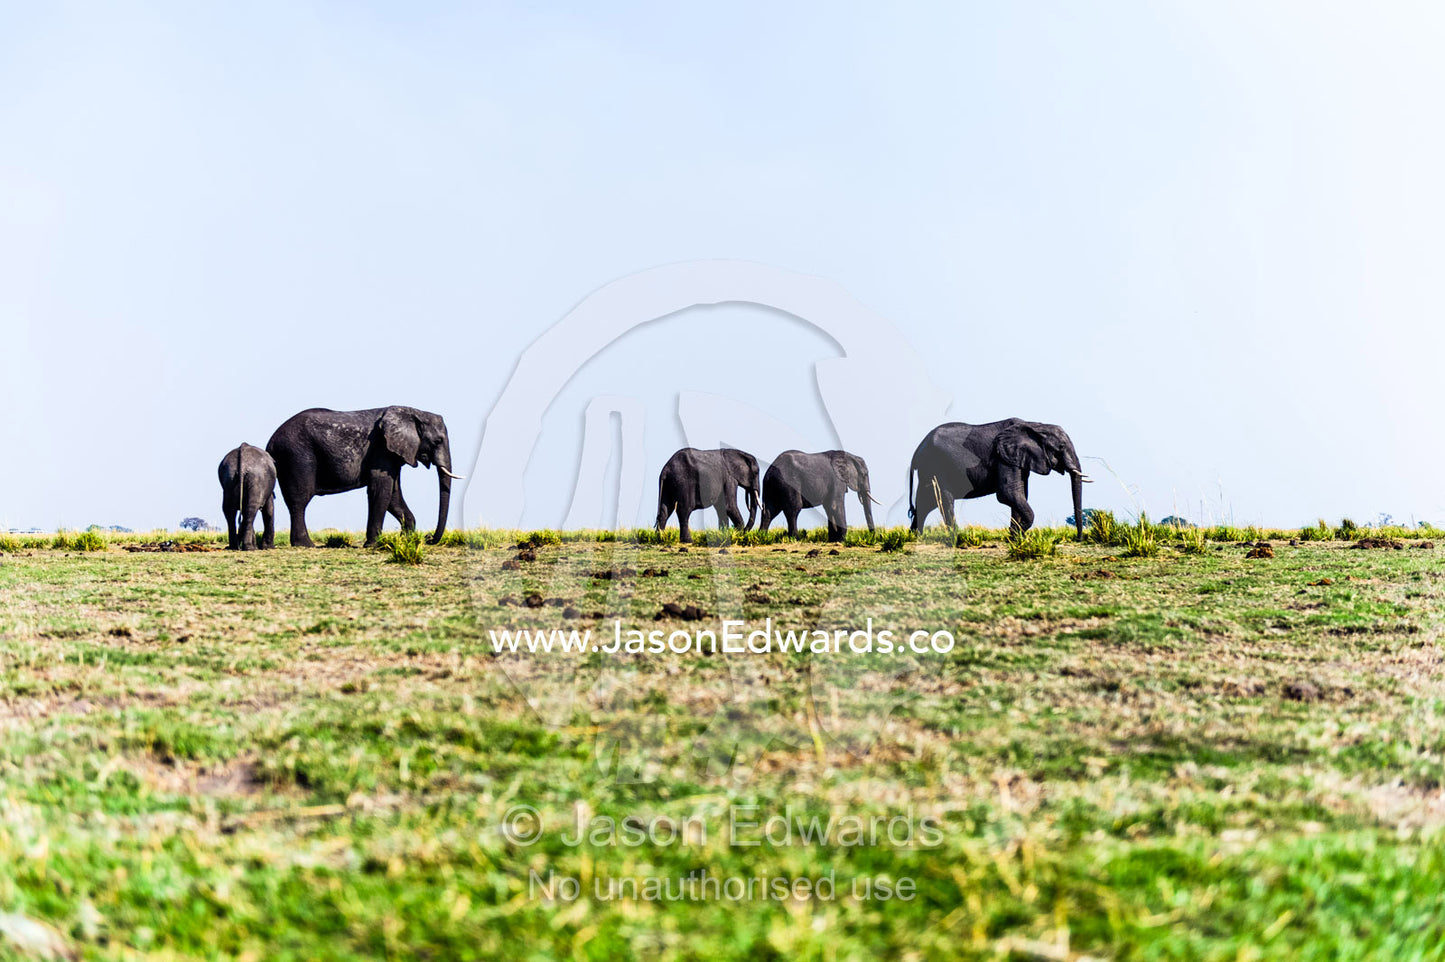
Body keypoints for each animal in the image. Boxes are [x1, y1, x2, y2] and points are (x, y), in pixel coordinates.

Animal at [266, 406, 463, 548]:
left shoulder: (392, 454)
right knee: (300, 501)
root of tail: (271, 442)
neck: (413, 412)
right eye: (438, 441)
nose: (429, 538)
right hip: (297, 457)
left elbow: (393, 493)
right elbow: (381, 489)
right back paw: (306, 545)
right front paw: (373, 545)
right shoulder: (381, 449)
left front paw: (406, 539)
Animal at [908, 419, 1090, 537]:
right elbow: (1008, 494)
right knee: (944, 499)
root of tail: (916, 452)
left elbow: (1020, 494)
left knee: (925, 502)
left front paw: (1015, 536)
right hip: (936, 467)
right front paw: (1017, 534)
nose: (1078, 538)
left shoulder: (1017, 458)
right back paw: (955, 536)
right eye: (1061, 447)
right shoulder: (1002, 456)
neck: (1035, 425)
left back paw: (915, 536)